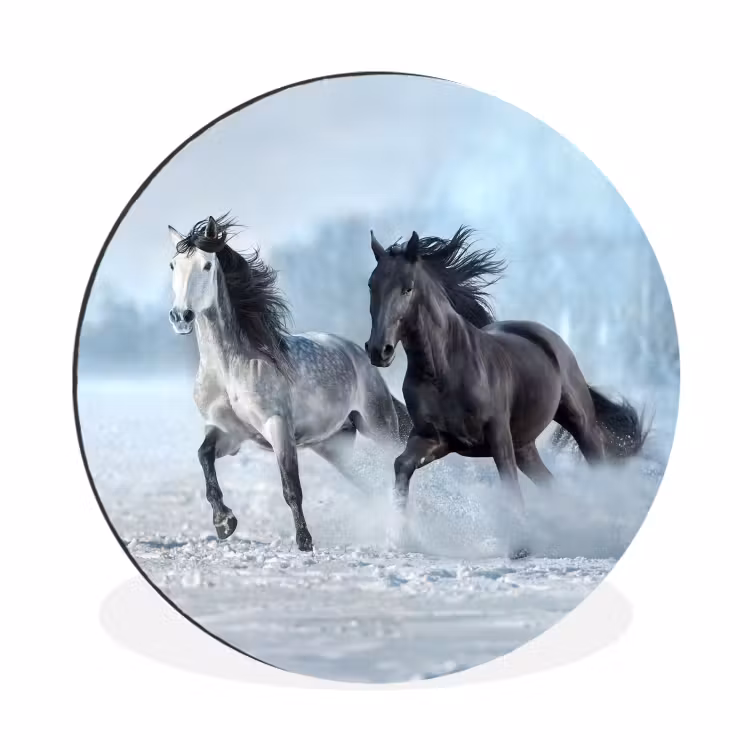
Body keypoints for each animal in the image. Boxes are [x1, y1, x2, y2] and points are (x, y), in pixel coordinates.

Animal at [168, 214, 411, 551]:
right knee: (371, 482)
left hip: (379, 427)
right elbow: (204, 457)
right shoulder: (228, 432)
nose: (181, 316)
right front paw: (224, 522)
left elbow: (291, 487)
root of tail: (359, 354)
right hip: (334, 445)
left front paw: (304, 542)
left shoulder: (278, 427)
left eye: (206, 265)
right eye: (173, 265)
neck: (230, 369)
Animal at [365, 226, 646, 555]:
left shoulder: (498, 436)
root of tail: (547, 337)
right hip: (525, 446)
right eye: (371, 285)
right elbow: (402, 465)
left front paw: (520, 547)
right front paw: (398, 536)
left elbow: (508, 484)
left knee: (596, 465)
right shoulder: (435, 438)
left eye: (407, 289)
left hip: (578, 421)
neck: (444, 370)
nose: (378, 350)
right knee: (550, 483)